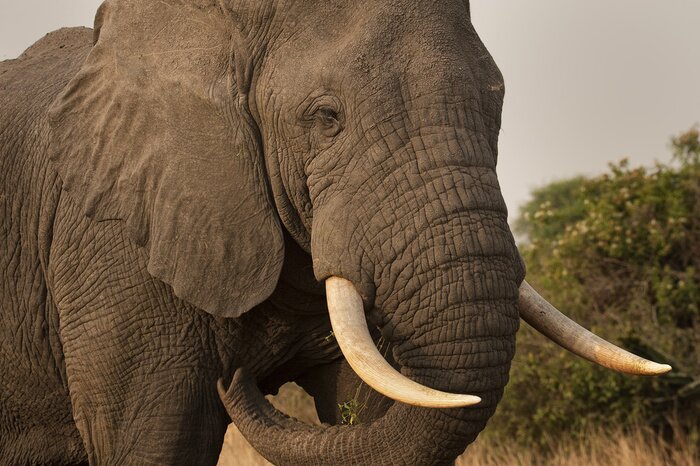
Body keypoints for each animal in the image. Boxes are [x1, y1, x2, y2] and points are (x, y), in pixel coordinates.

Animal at [0, 0, 670, 465]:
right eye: (325, 118)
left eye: (497, 105)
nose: (236, 380)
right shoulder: (109, 240)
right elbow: (155, 439)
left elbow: (371, 414)